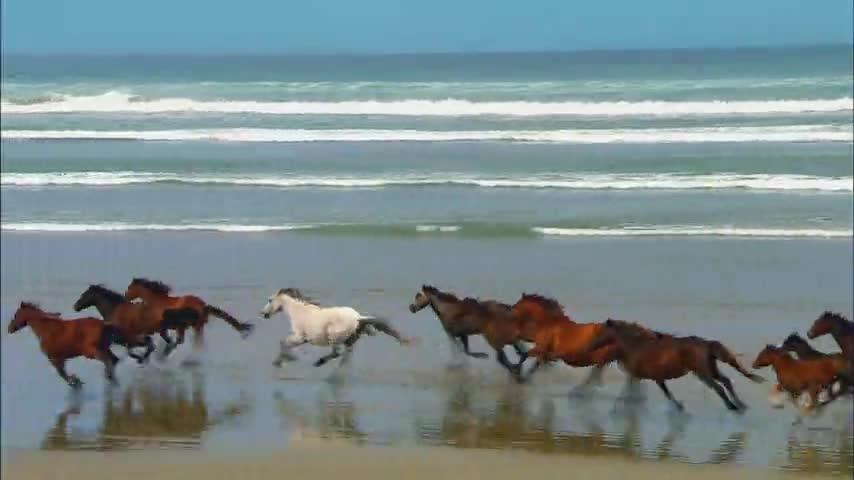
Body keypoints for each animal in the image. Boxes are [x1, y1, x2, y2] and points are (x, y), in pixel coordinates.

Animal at [261, 287, 414, 367]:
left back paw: (319, 362)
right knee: (345, 355)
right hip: (350, 340)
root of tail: (358, 317)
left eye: (270, 300)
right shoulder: (300, 339)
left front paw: (283, 360)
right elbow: (283, 343)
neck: (298, 312)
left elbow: (283, 343)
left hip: (333, 337)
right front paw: (282, 360)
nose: (263, 314)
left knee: (336, 353)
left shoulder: (300, 337)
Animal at [587, 319, 763, 412]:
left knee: (718, 387)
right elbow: (666, 393)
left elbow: (632, 392)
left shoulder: (639, 376)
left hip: (703, 373)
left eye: (599, 332)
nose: (590, 347)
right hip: (711, 369)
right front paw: (680, 407)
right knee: (726, 381)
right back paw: (741, 405)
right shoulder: (651, 378)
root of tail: (707, 344)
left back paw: (733, 407)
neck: (638, 344)